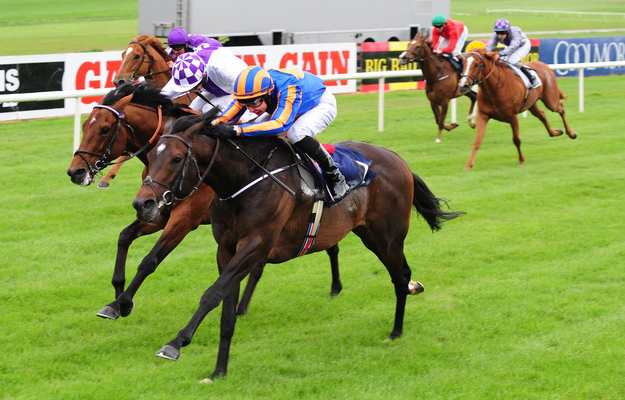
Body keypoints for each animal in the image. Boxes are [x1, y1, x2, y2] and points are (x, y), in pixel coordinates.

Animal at [65, 83, 342, 322]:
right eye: (85, 126)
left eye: (104, 129)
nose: (75, 172)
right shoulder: (158, 211)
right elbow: (124, 236)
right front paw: (115, 297)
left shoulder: (185, 218)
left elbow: (150, 260)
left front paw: (122, 303)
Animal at [133, 110, 464, 382]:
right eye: (153, 156)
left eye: (176, 158)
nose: (143, 204)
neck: (245, 181)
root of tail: (399, 160)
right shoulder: (226, 250)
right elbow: (225, 308)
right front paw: (219, 371)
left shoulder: (255, 245)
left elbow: (210, 294)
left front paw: (175, 344)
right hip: (368, 235)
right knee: (401, 274)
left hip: (388, 237)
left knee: (400, 276)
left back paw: (396, 331)